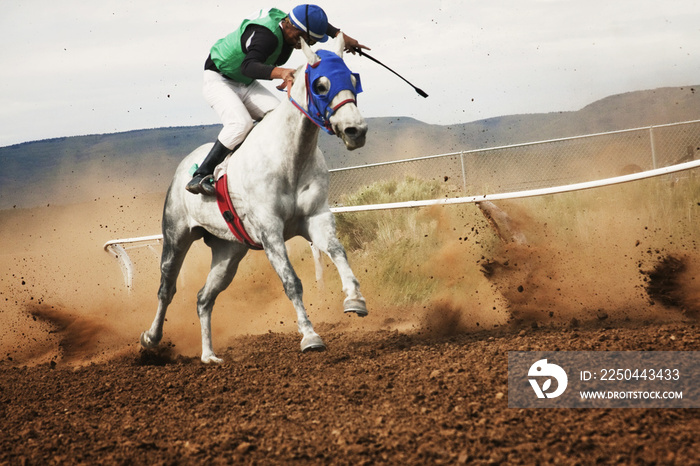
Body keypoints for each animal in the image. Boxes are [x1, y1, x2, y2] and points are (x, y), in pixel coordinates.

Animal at [144, 38, 372, 362]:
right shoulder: (270, 231)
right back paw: (151, 338)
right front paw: (310, 336)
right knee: (167, 287)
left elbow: (339, 252)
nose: (356, 131)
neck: (290, 157)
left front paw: (355, 299)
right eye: (321, 85)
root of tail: (182, 167)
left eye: (354, 80)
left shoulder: (315, 218)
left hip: (228, 251)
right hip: (176, 235)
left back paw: (208, 355)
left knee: (203, 298)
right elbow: (291, 282)